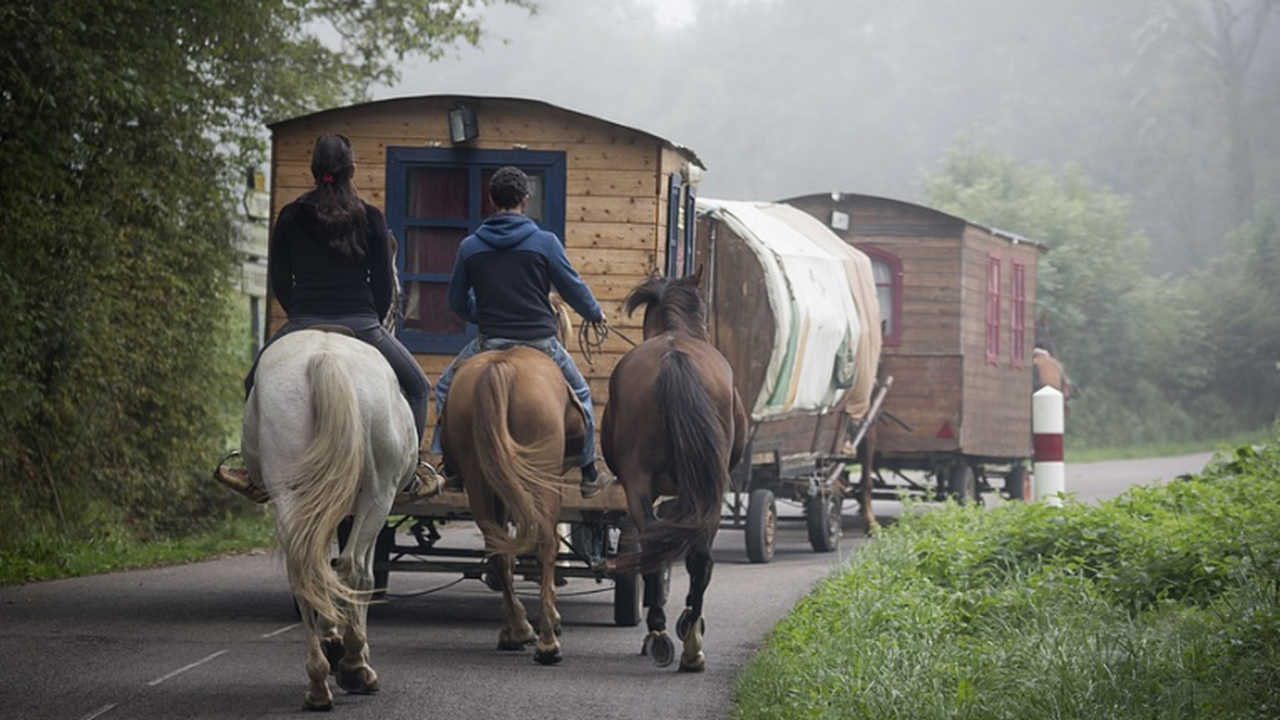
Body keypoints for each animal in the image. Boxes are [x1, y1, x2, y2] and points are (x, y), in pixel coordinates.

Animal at [241, 327, 417, 707]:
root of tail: (325, 356)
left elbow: (323, 567)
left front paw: (332, 641)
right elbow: (357, 573)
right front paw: (349, 653)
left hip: (290, 493)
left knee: (304, 570)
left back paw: (319, 682)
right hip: (378, 495)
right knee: (355, 570)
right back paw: (354, 668)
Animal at [435, 345, 586, 666]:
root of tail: (500, 367)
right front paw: (552, 618)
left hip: (479, 480)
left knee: (498, 549)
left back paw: (516, 630)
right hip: (542, 479)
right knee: (545, 544)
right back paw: (547, 643)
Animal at [601, 266, 747, 671]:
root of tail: (673, 357)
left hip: (643, 484)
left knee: (657, 543)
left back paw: (663, 633)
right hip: (704, 488)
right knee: (694, 556)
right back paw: (688, 640)